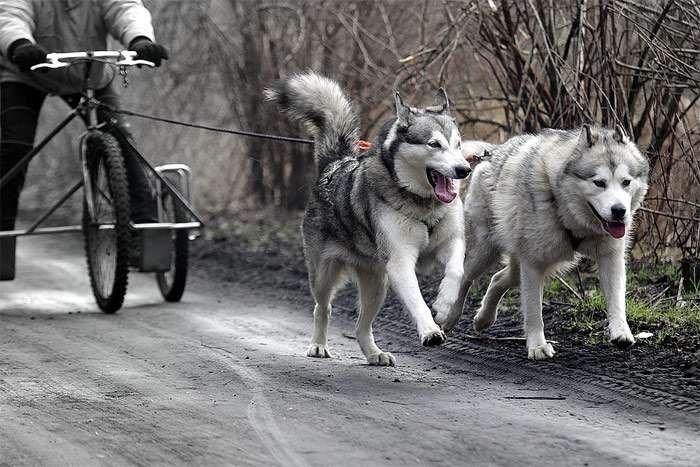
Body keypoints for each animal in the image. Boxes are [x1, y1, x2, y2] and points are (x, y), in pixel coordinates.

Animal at [266, 73, 470, 366]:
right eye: (434, 144)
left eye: (458, 144)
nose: (464, 169)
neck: (423, 205)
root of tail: (334, 164)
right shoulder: (400, 262)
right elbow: (417, 300)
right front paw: (430, 330)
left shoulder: (451, 243)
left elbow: (456, 270)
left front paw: (443, 307)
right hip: (323, 276)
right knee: (323, 308)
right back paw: (318, 345)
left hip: (376, 286)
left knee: (361, 326)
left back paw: (374, 353)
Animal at [438, 126, 652, 360]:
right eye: (599, 183)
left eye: (626, 182)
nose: (619, 211)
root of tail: (493, 152)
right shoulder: (533, 264)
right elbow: (534, 311)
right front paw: (537, 346)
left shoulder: (611, 258)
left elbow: (617, 300)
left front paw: (621, 331)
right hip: (485, 253)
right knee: (465, 277)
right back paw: (449, 315)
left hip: (526, 264)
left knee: (498, 279)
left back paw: (483, 319)